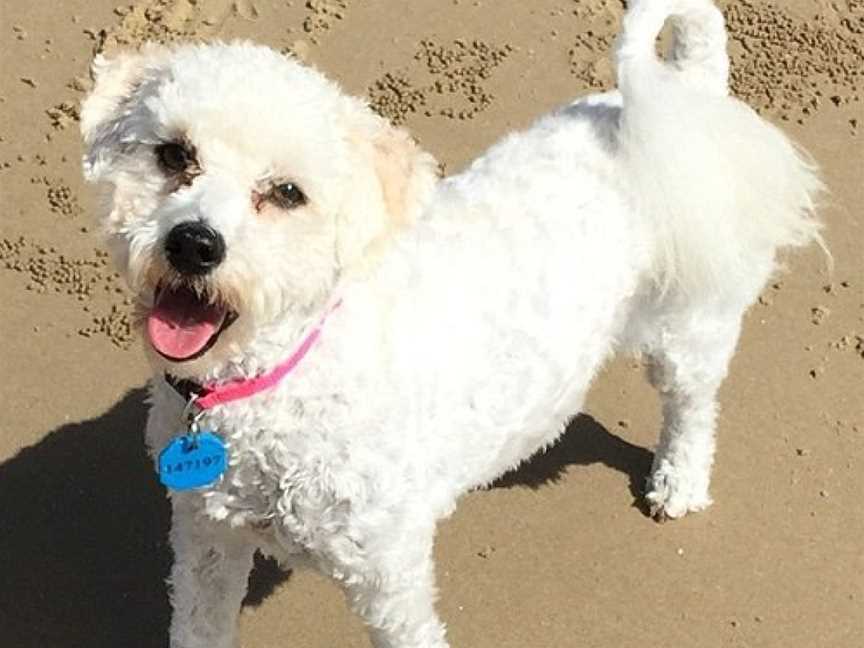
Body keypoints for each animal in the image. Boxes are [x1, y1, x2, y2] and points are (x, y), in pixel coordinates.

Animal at [81, 1, 824, 648]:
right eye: (173, 155)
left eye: (287, 193)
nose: (194, 244)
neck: (279, 377)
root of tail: (687, 89)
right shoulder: (207, 536)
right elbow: (200, 623)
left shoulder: (387, 575)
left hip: (686, 322)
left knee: (692, 405)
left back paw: (680, 480)